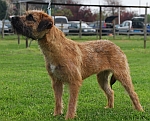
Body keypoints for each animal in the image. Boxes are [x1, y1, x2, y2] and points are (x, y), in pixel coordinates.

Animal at [11, 10, 143, 120]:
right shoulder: (56, 82)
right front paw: (56, 114)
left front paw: (69, 117)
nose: (12, 17)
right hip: (101, 78)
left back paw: (139, 110)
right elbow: (58, 101)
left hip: (122, 74)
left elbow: (71, 102)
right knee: (110, 92)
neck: (57, 49)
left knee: (133, 93)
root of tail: (117, 46)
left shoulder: (74, 81)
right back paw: (109, 107)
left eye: (30, 17)